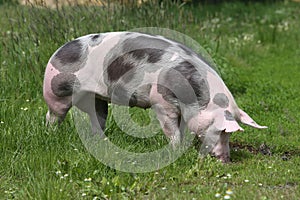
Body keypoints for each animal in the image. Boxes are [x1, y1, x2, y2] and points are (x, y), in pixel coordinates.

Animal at [42, 31, 268, 162]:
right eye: (222, 131)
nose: (226, 160)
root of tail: (58, 50)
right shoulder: (161, 102)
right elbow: (171, 129)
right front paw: (176, 150)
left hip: (98, 100)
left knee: (97, 119)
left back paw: (101, 142)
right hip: (55, 90)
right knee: (53, 115)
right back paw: (51, 135)